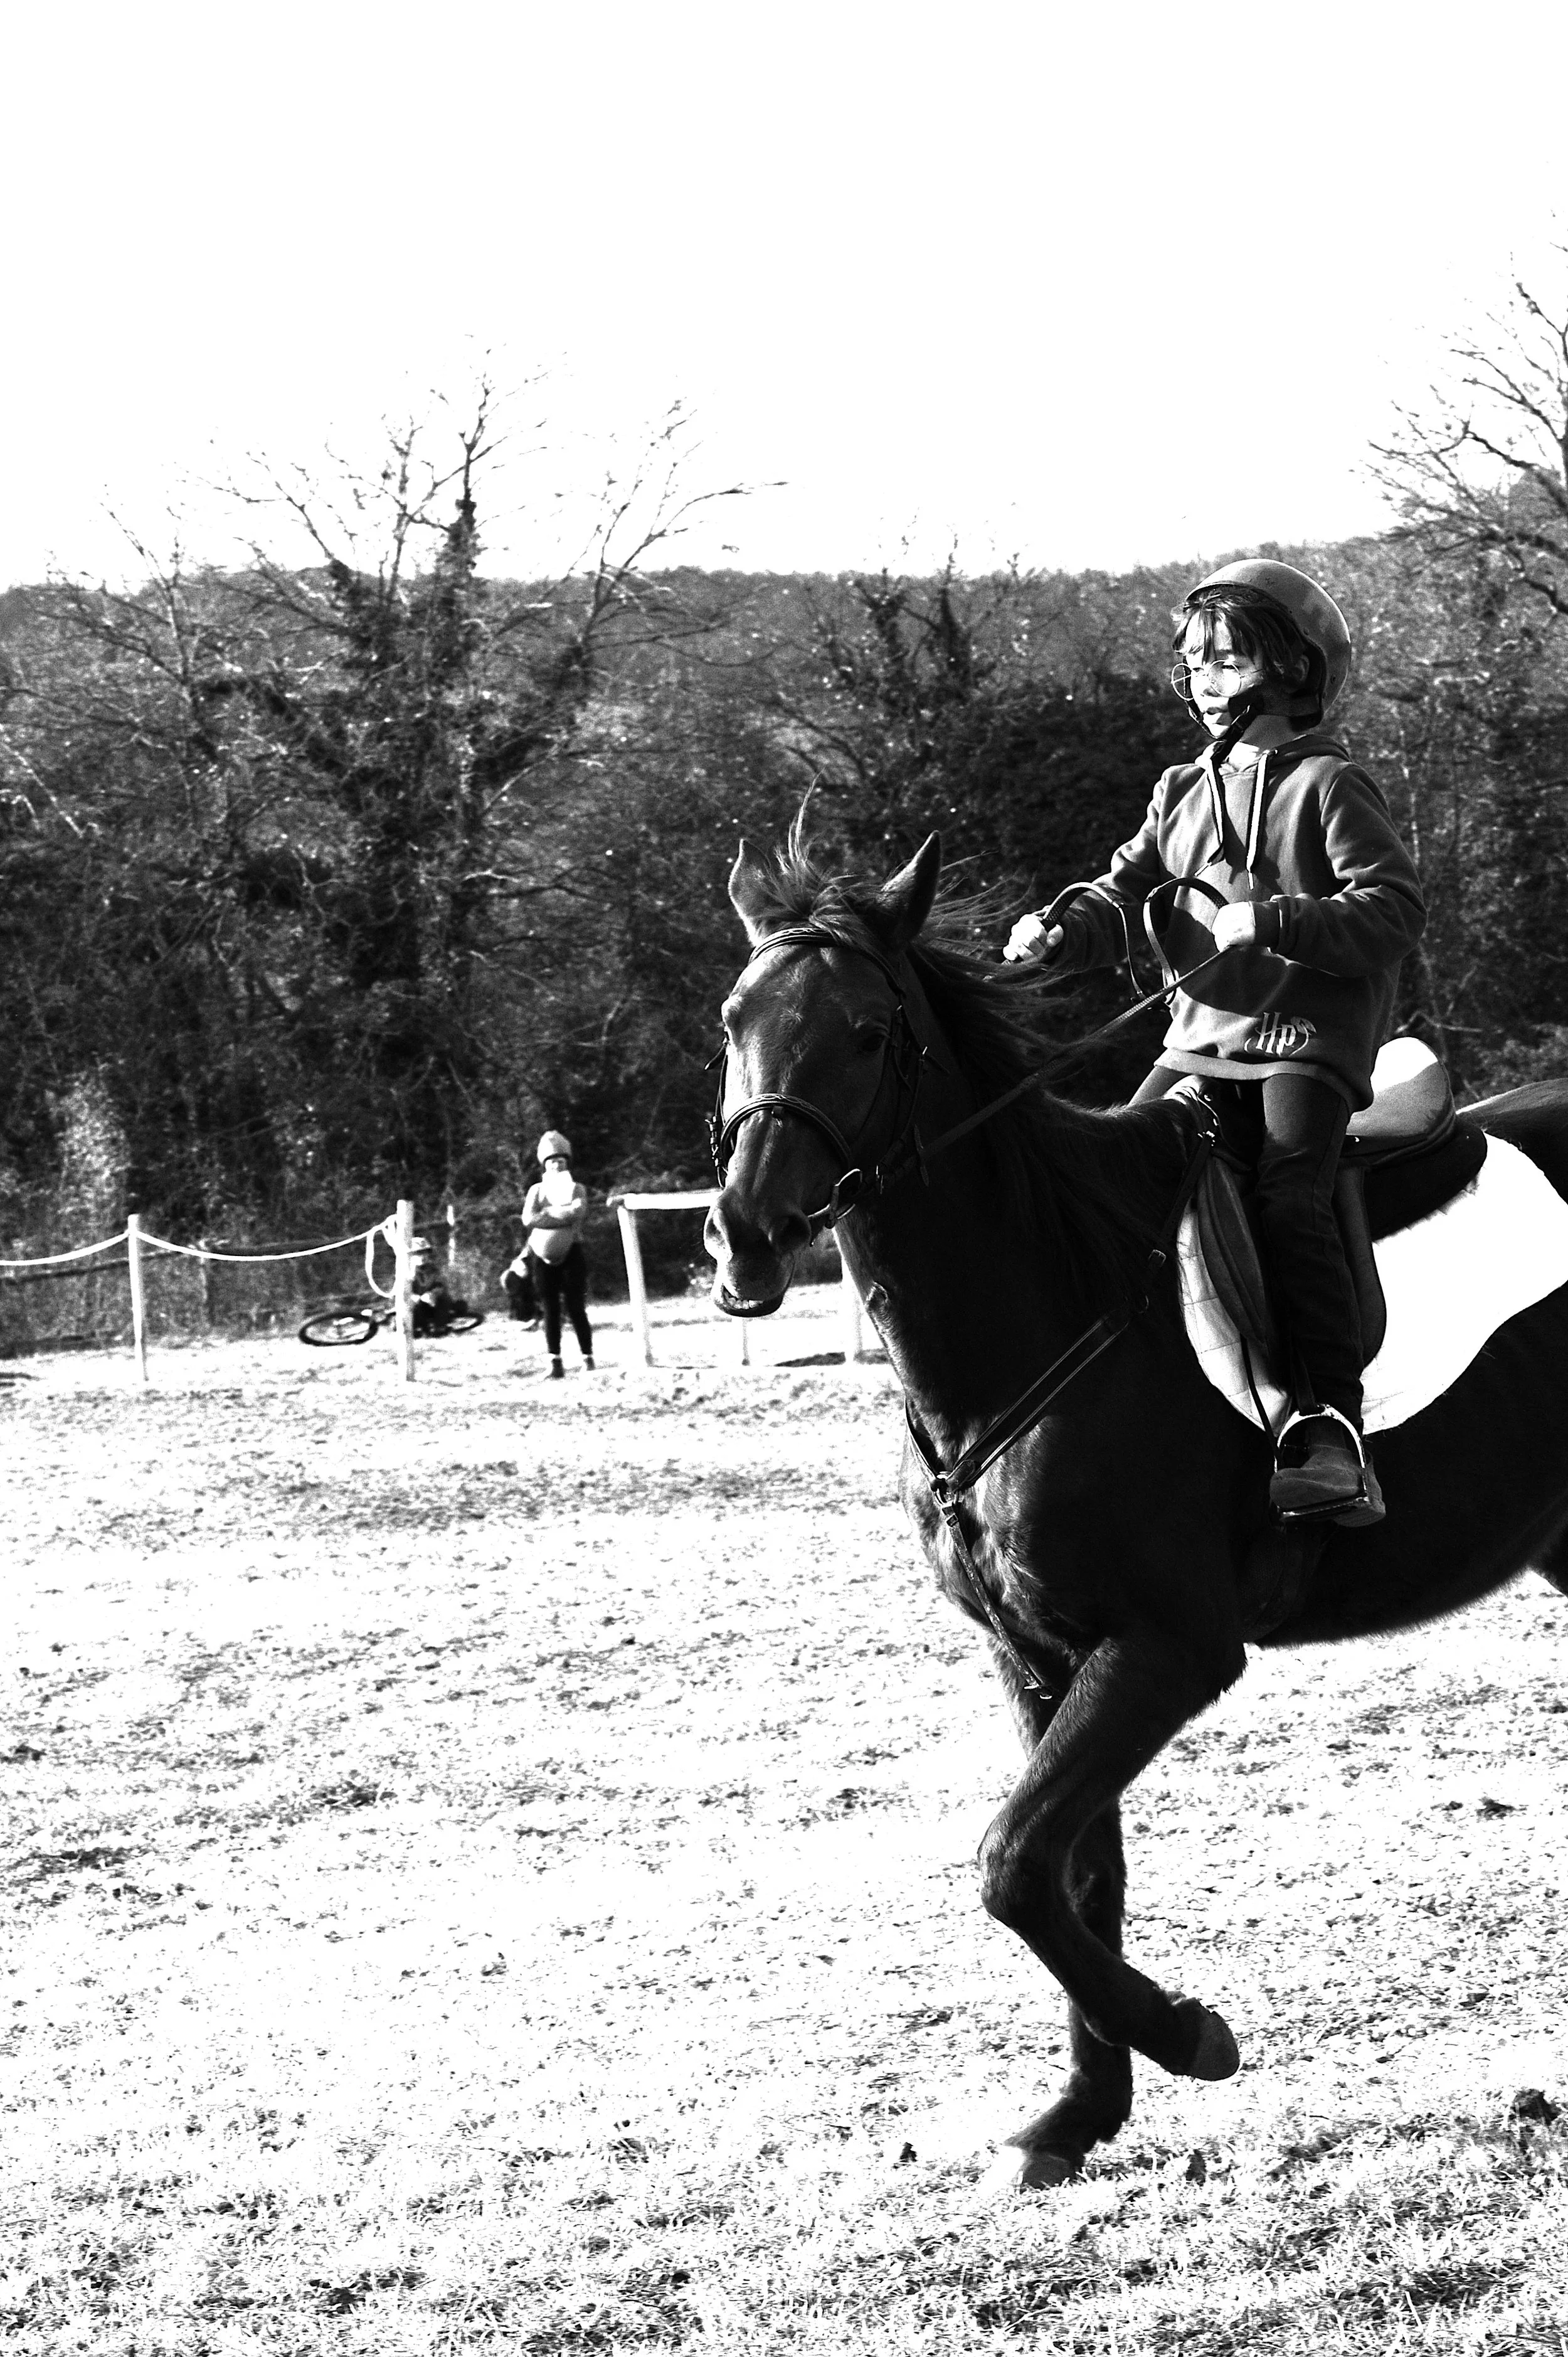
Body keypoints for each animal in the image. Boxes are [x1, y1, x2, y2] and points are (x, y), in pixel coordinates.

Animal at [703, 826, 1568, 2191]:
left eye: (863, 1030)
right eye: (735, 1017)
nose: (742, 1232)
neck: (1050, 1303)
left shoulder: (1167, 1649)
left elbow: (1011, 1865)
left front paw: (1188, 2035)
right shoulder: (1041, 1655)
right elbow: (1073, 1874)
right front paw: (1076, 2114)